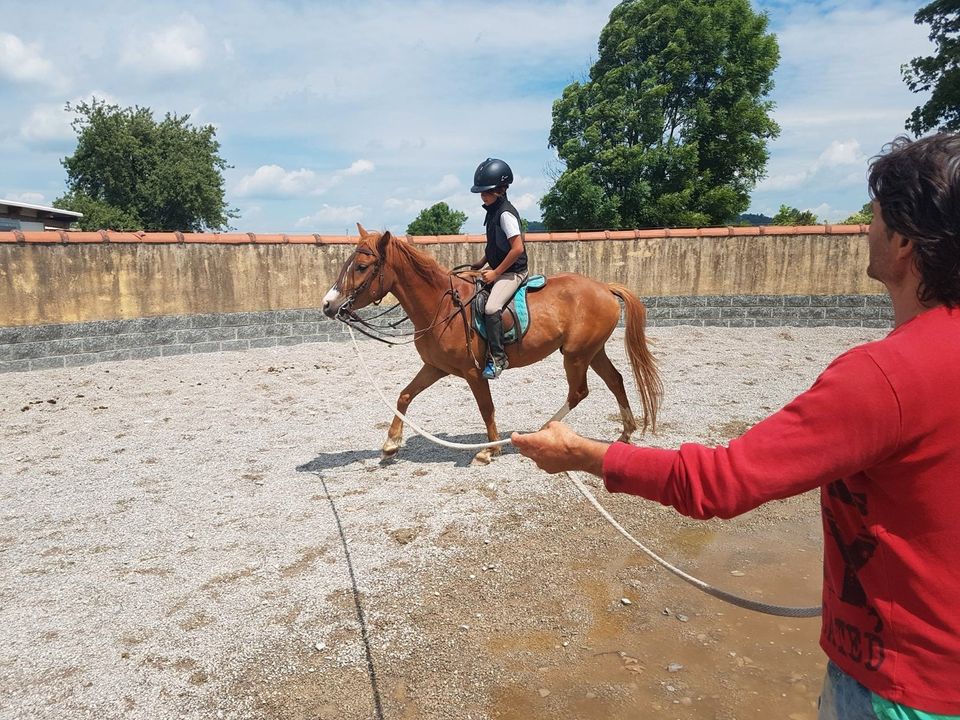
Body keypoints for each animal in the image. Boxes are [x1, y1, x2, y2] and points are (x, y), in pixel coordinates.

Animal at [320, 222, 660, 464]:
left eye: (361, 267)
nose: (328, 305)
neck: (441, 306)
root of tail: (604, 287)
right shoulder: (434, 367)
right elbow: (404, 396)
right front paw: (391, 444)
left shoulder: (474, 372)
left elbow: (486, 408)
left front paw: (490, 450)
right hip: (592, 351)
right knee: (615, 381)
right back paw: (625, 433)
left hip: (576, 355)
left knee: (579, 392)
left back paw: (541, 432)